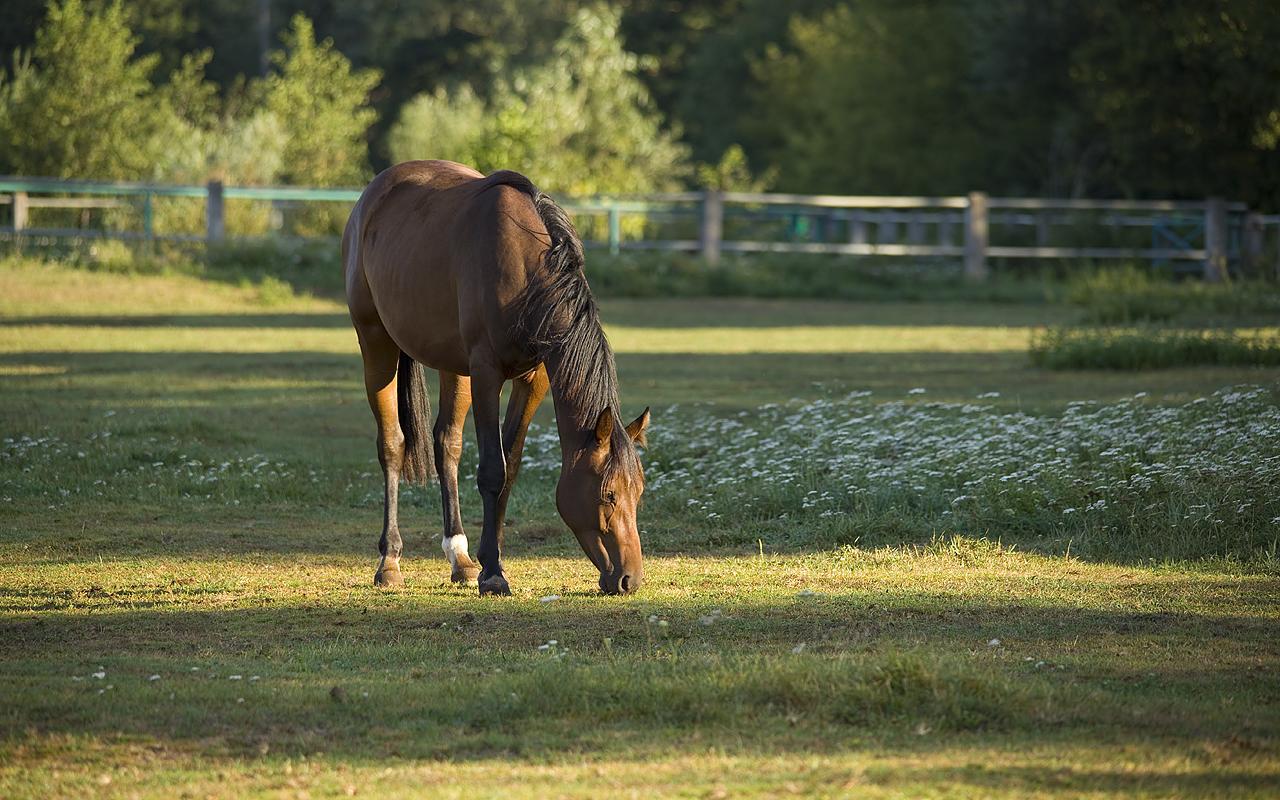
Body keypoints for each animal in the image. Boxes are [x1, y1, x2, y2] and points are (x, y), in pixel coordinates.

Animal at [340, 159, 650, 593]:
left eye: (638, 491)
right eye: (608, 494)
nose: (629, 579)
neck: (528, 268)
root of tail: (374, 193)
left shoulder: (533, 378)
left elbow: (510, 467)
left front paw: (489, 560)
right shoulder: (486, 373)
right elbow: (492, 470)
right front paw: (493, 573)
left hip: (453, 366)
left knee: (447, 445)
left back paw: (459, 557)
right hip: (376, 343)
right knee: (392, 445)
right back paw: (390, 561)